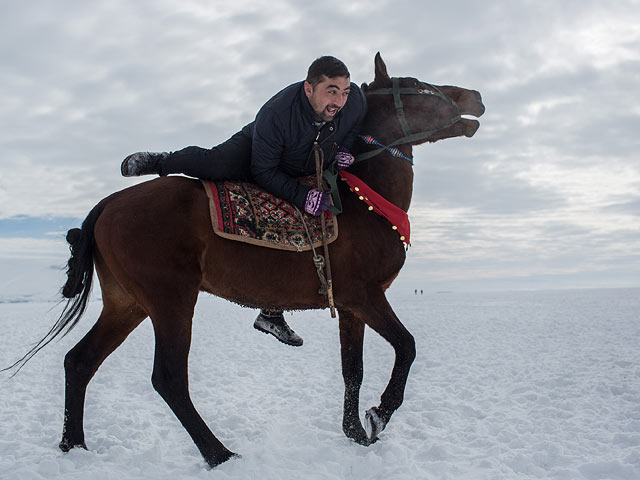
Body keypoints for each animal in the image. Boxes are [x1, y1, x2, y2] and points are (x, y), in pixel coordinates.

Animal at [16, 53, 484, 468]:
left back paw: (73, 444)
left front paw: (355, 431)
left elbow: (353, 370)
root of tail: (108, 204)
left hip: (126, 303)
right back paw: (218, 454)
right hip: (170, 300)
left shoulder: (351, 307)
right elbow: (407, 347)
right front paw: (378, 415)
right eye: (418, 85)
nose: (476, 96)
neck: (362, 200)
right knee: (168, 379)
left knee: (79, 361)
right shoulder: (366, 296)